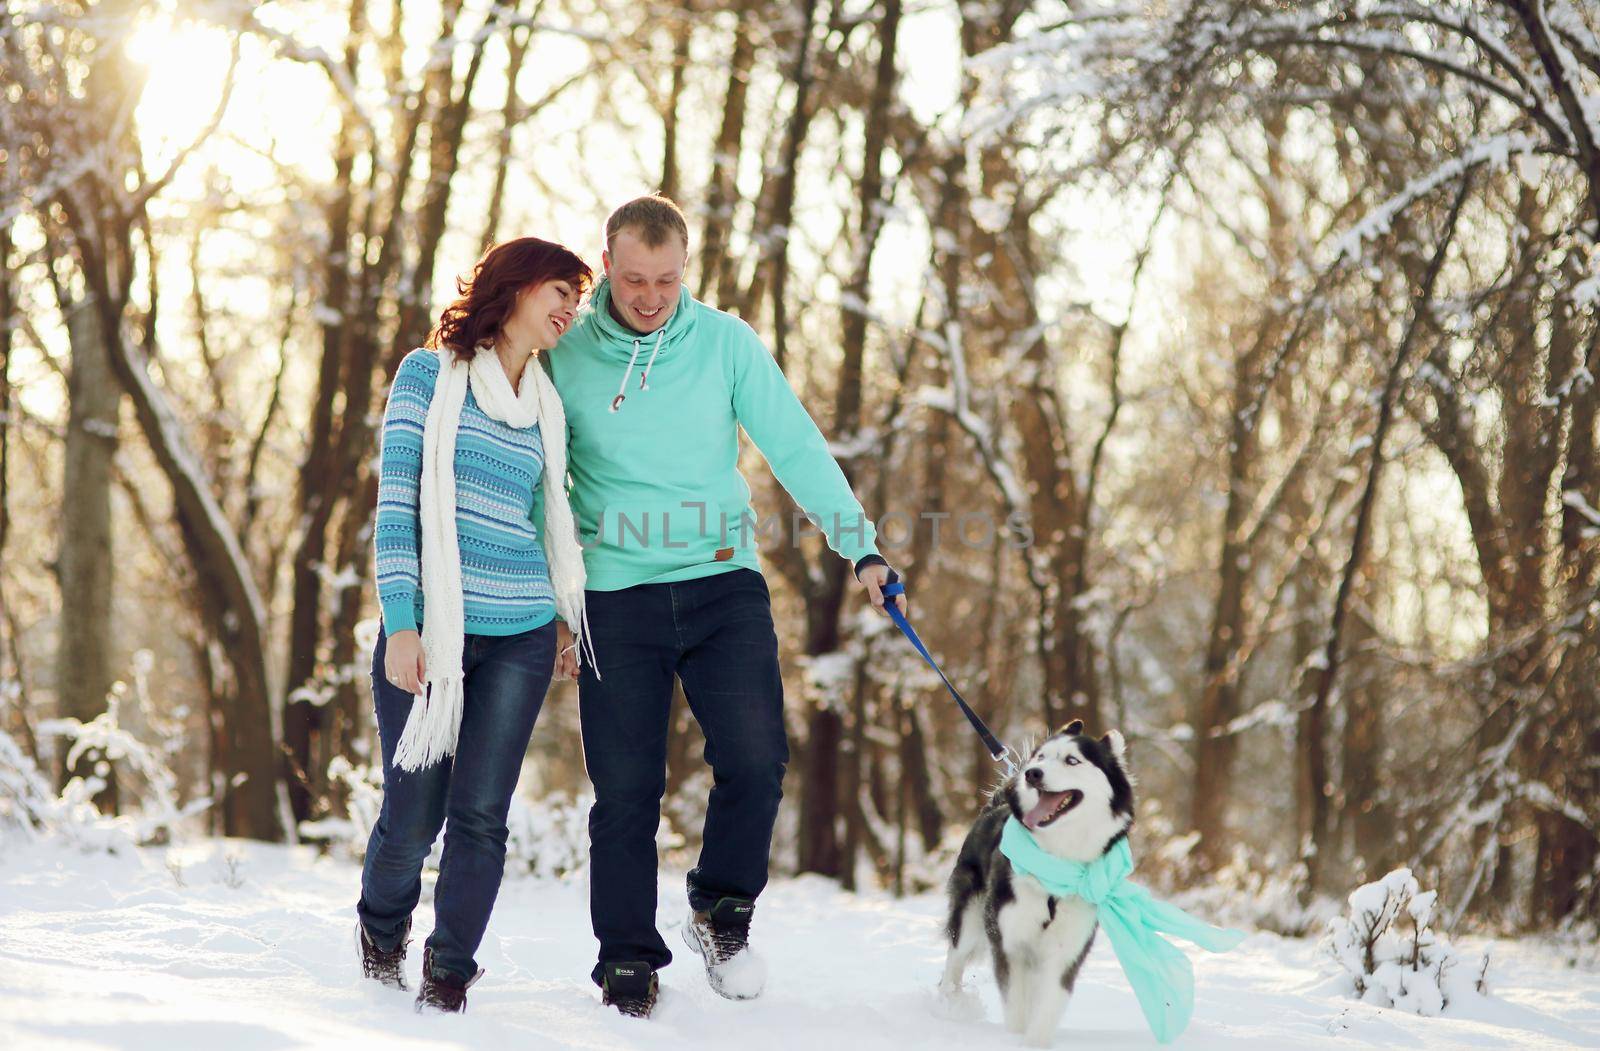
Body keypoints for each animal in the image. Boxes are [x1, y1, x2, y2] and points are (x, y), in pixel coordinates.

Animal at [934, 716, 1139, 1043]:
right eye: (1041, 757)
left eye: (1072, 760)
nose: (1032, 773)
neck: (1057, 863)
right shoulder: (1009, 941)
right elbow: (1016, 1004)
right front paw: (1015, 1038)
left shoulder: (1066, 951)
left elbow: (1048, 1005)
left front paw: (1035, 1040)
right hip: (969, 915)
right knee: (955, 958)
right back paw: (947, 1005)